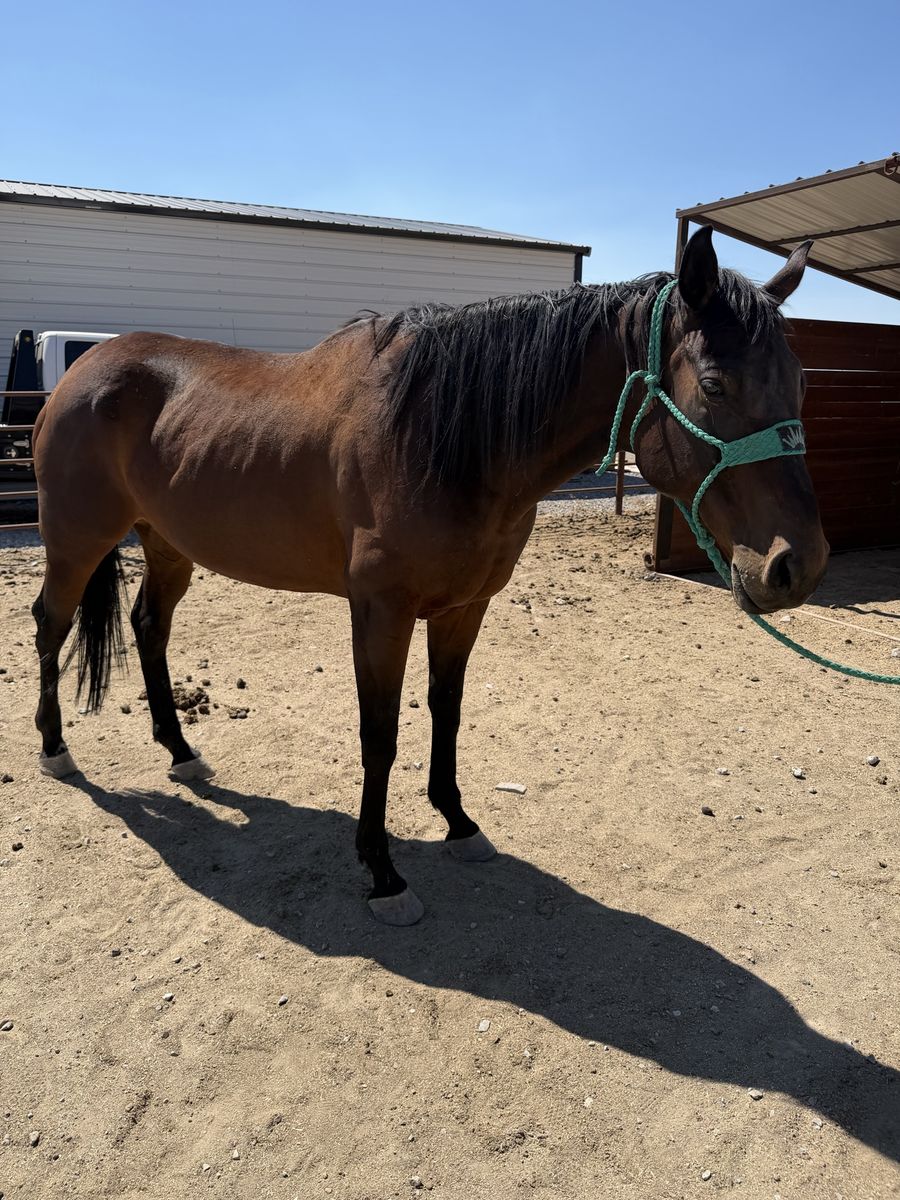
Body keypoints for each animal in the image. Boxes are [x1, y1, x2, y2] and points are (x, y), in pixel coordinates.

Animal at [30, 227, 829, 924]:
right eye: (715, 385)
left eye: (797, 381)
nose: (798, 565)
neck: (446, 437)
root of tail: (80, 373)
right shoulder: (380, 611)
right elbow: (379, 731)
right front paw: (382, 871)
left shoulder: (462, 607)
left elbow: (446, 707)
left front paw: (458, 821)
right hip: (75, 541)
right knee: (51, 627)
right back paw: (55, 750)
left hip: (168, 544)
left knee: (149, 628)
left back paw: (181, 752)